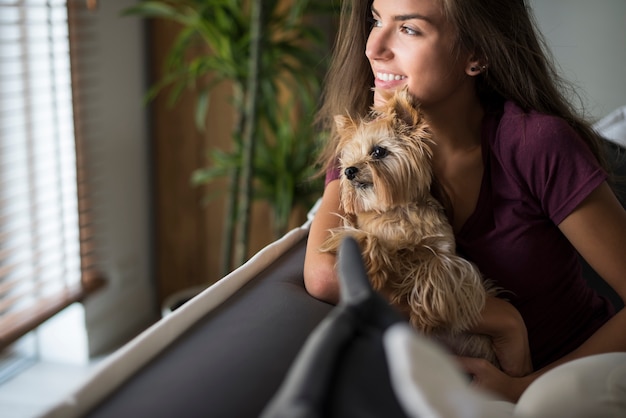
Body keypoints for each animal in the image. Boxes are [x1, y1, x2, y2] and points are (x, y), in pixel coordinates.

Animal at [322, 87, 498, 366]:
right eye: (348, 158)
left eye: (378, 152)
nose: (349, 171)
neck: (398, 211)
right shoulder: (352, 230)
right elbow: (367, 237)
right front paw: (372, 265)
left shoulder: (449, 255)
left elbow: (436, 266)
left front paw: (427, 315)